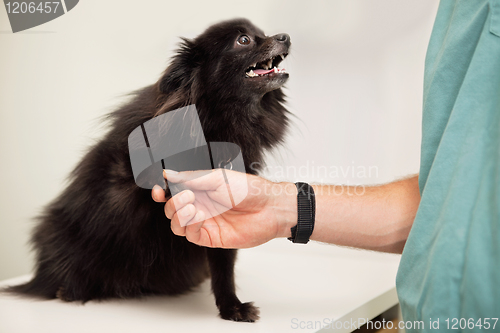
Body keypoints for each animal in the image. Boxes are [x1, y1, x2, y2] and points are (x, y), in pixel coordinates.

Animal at [4, 18, 290, 322]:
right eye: (244, 40)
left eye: (263, 34)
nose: (285, 36)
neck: (222, 120)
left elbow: (223, 263)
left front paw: (231, 306)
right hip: (62, 231)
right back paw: (70, 290)